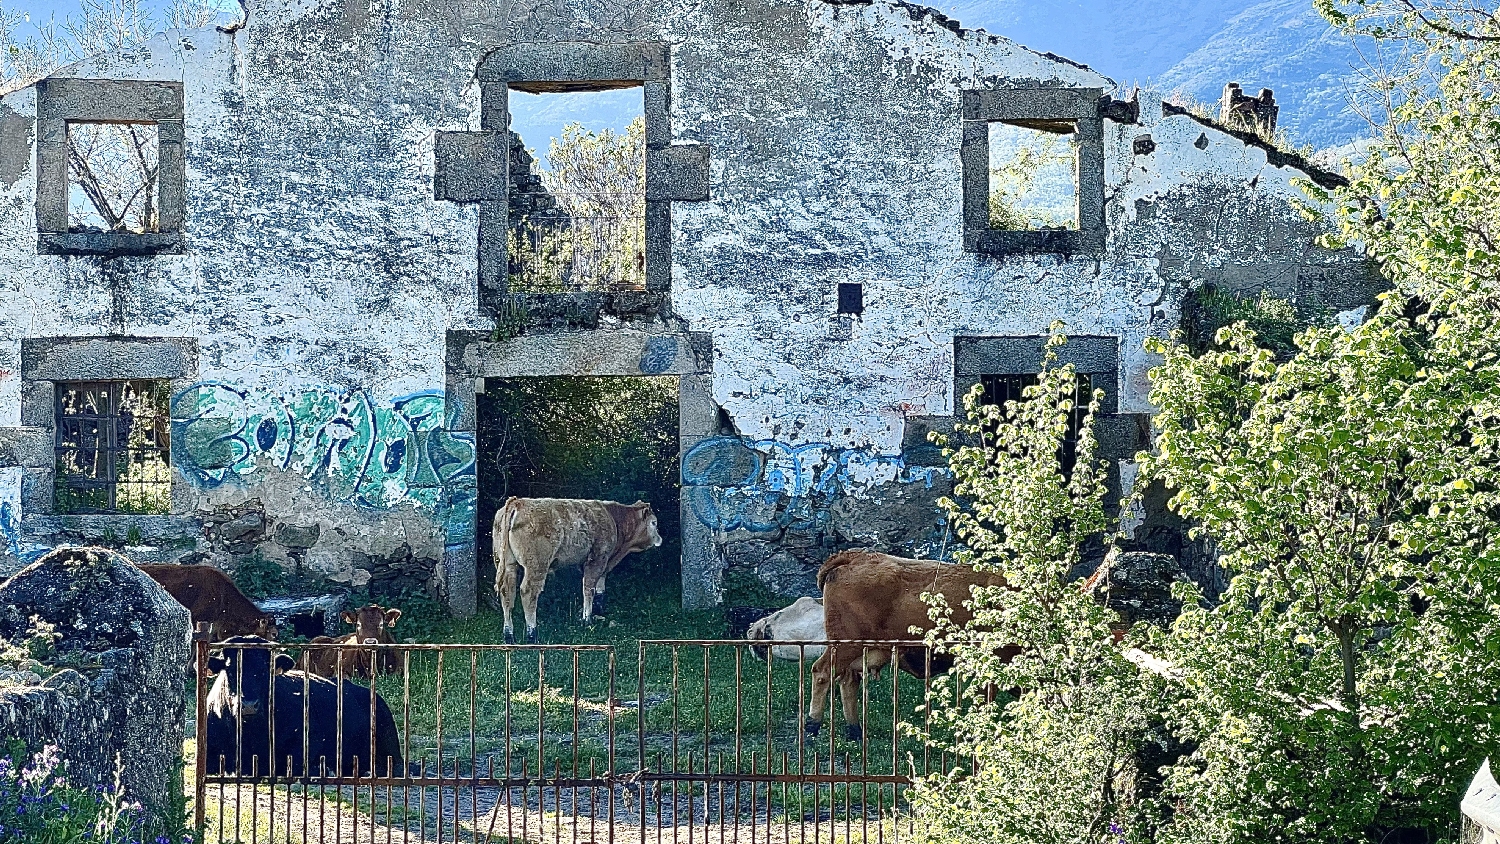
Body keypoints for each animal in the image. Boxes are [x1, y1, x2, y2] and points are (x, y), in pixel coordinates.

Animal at [492, 497, 663, 644]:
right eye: (654, 523)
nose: (660, 539)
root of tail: (518, 502)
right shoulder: (597, 559)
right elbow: (589, 588)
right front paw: (587, 620)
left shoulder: (602, 562)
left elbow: (600, 588)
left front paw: (598, 611)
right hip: (536, 565)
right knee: (528, 593)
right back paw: (532, 636)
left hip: (507, 564)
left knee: (507, 592)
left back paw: (509, 637)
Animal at [804, 548, 1014, 740]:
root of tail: (855, 556)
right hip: (845, 646)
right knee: (822, 672)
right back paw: (811, 728)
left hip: (856, 651)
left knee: (848, 680)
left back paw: (855, 732)